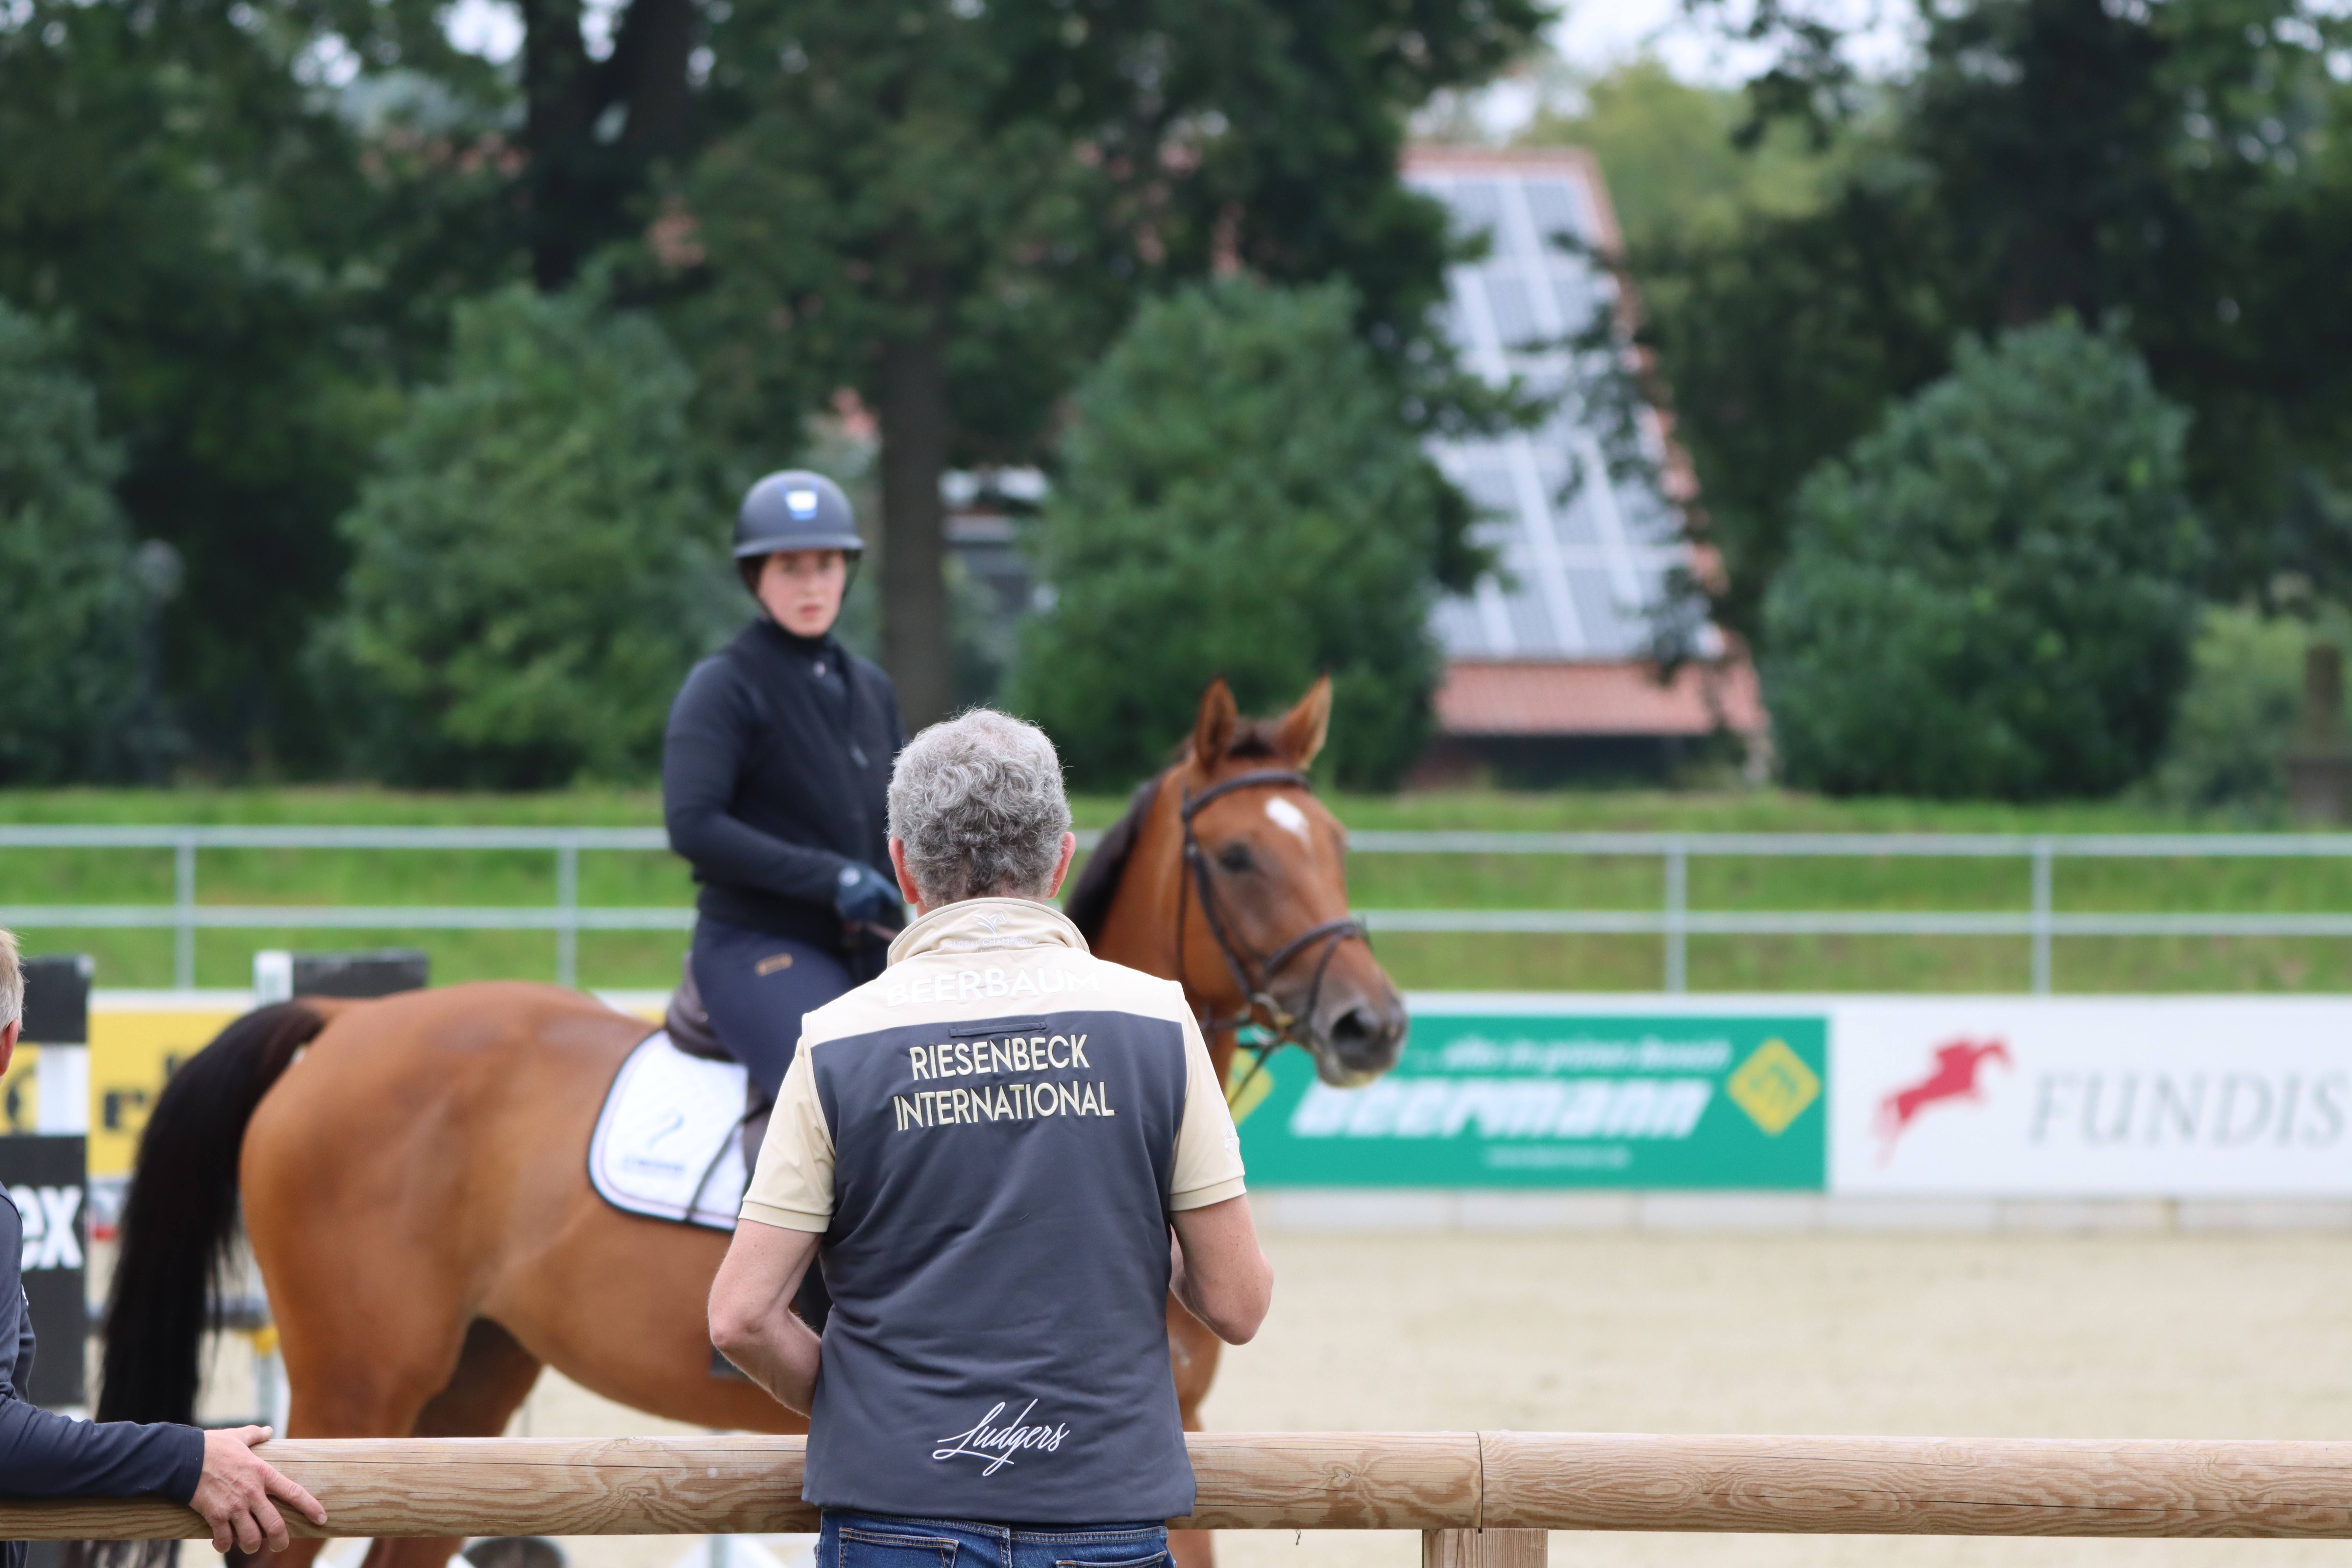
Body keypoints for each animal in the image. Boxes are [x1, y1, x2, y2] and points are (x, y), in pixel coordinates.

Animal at [91, 676, 1406, 1568]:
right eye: (1234, 857)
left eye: (1339, 844)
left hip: (460, 1409)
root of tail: (341, 1023)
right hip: (354, 1401)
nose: (1372, 1024)